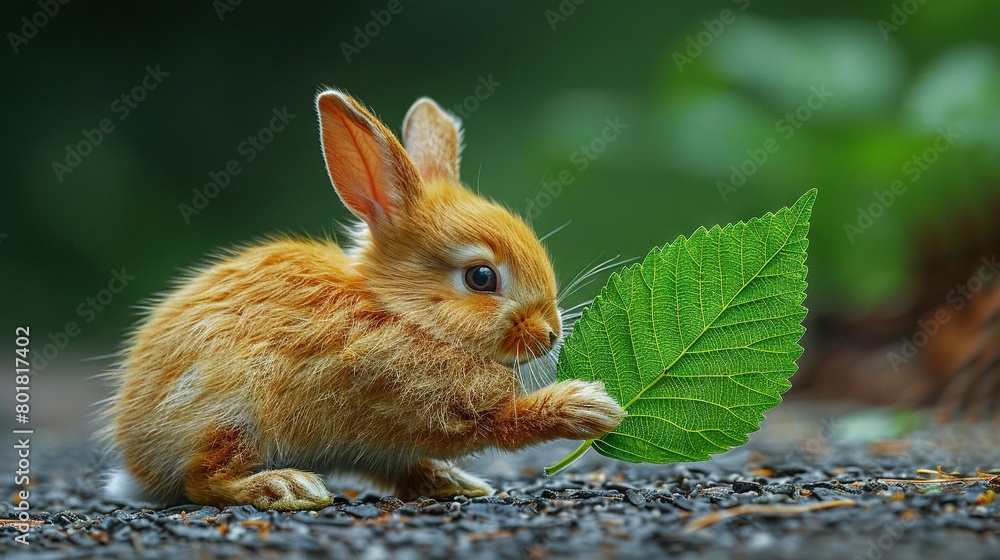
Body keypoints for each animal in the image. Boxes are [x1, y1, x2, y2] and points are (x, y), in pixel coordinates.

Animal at [99, 89, 625, 511]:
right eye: (481, 277)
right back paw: (284, 488)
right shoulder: (430, 404)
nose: (550, 334)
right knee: (201, 479)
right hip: (232, 417)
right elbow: (504, 422)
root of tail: (137, 468)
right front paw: (590, 408)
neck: (400, 311)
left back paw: (451, 482)